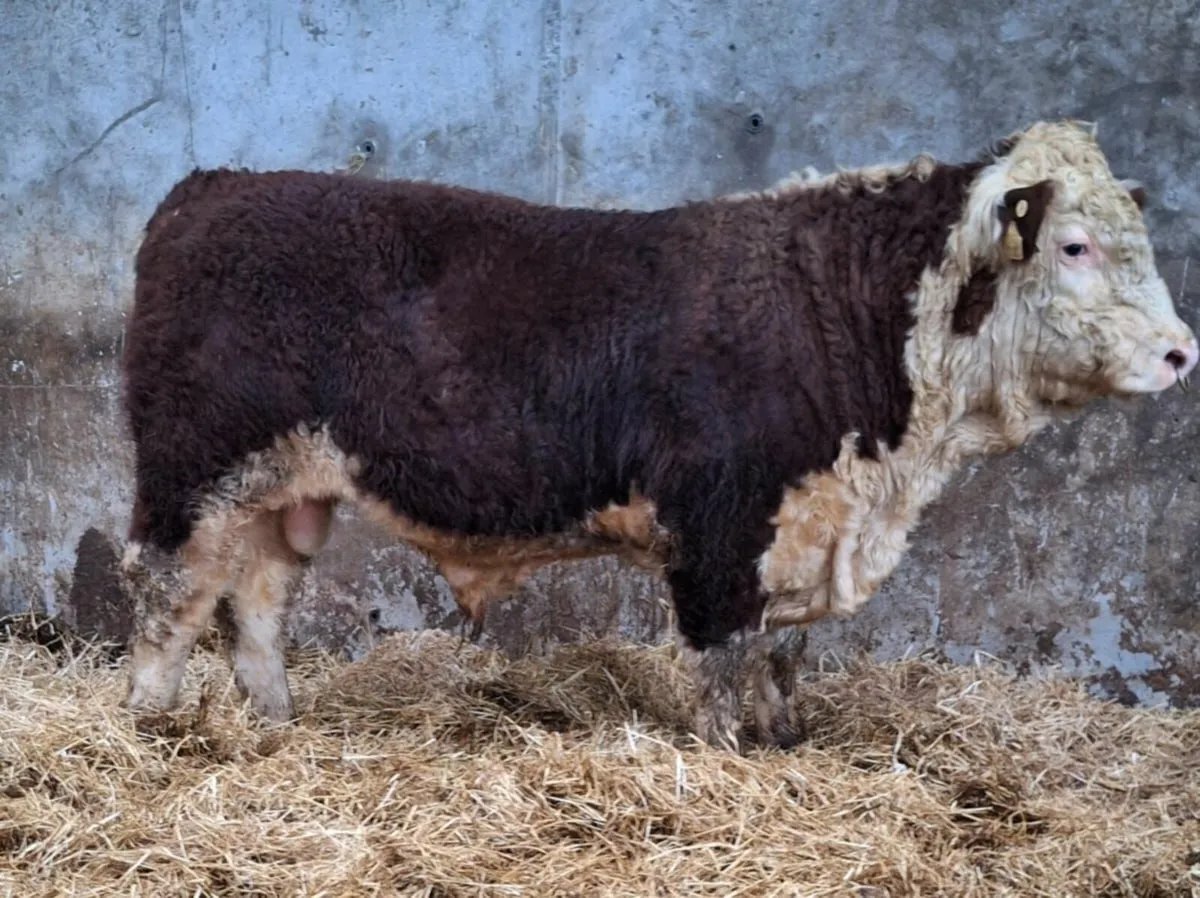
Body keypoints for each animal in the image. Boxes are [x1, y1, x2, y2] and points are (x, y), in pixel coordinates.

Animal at [117, 120, 1197, 753]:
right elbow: (722, 661)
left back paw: (276, 729)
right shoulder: (721, 524)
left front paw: (784, 744)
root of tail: (212, 185)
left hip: (283, 489)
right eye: (1074, 245)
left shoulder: (798, 525)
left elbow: (778, 655)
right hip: (191, 471)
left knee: (254, 606)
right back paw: (146, 728)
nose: (1182, 352)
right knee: (170, 597)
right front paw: (728, 761)